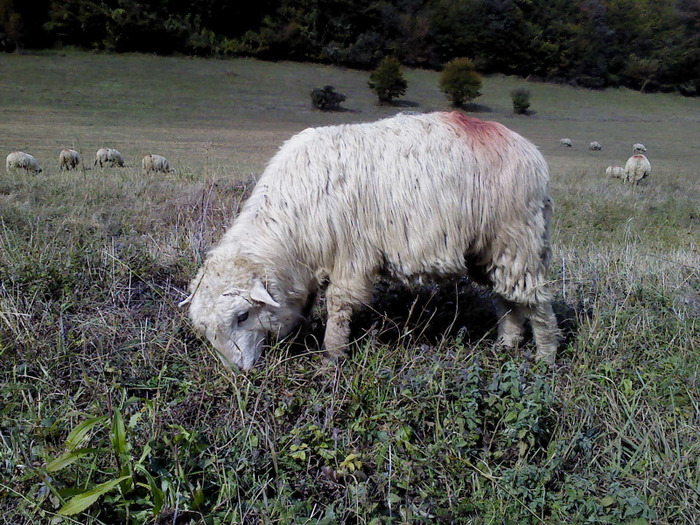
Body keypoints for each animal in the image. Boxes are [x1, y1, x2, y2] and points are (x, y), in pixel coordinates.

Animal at [182, 112, 560, 371]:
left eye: (243, 315)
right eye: (206, 331)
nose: (239, 374)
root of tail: (529, 149)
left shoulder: (350, 256)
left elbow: (338, 307)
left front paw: (331, 359)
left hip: (519, 238)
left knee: (536, 301)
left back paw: (545, 357)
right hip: (492, 249)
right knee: (507, 299)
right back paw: (506, 346)